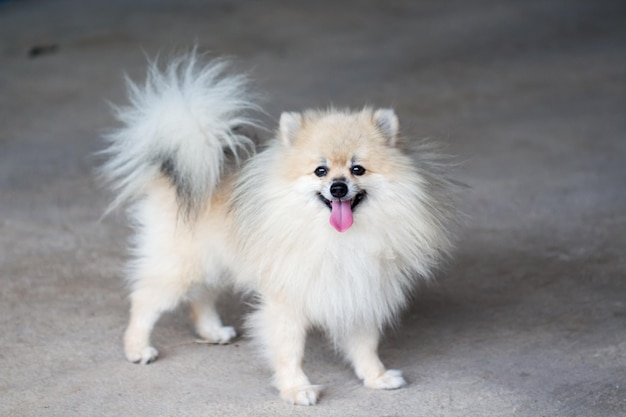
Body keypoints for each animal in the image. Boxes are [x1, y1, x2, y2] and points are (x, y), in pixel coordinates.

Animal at [100, 51, 456, 404]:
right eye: (320, 171)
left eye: (358, 169)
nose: (338, 187)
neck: (338, 238)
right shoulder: (288, 300)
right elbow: (290, 350)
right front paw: (297, 388)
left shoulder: (358, 291)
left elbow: (365, 345)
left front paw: (376, 377)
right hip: (181, 264)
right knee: (145, 299)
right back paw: (137, 348)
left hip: (214, 262)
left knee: (201, 296)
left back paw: (213, 331)